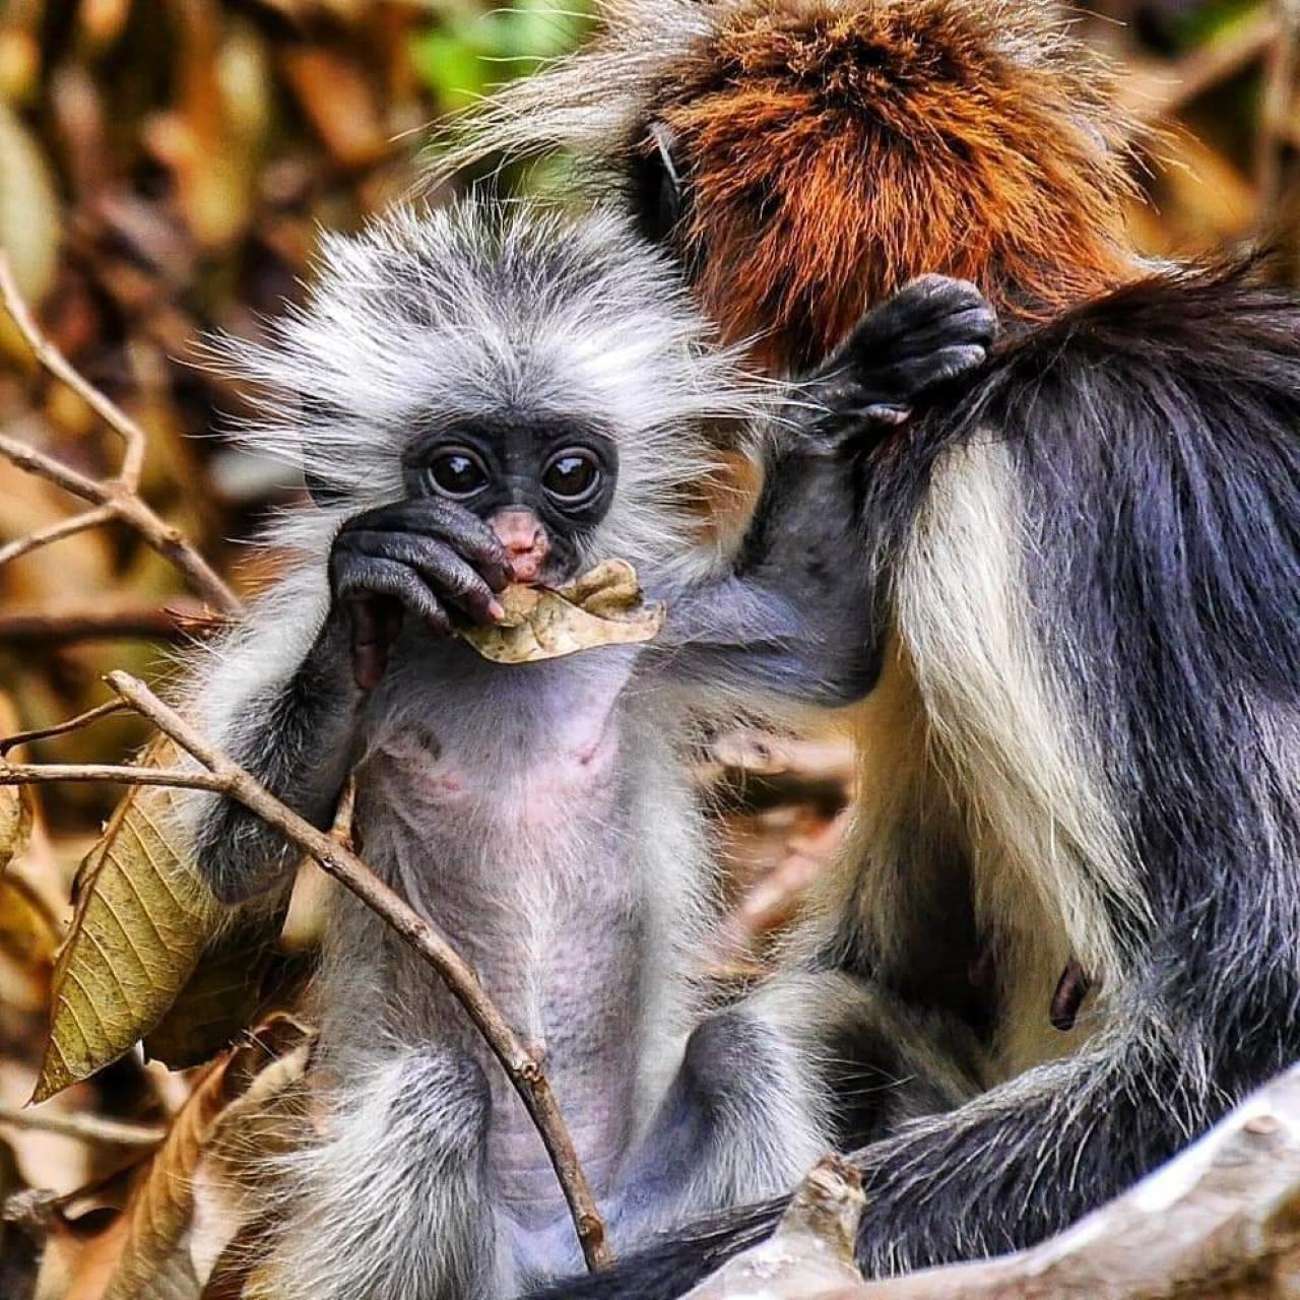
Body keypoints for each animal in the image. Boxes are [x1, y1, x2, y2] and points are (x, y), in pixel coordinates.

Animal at [175, 197, 996, 1299]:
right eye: (459, 472)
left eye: (569, 473)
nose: (522, 543)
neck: (504, 654)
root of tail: (559, 1242)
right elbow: (231, 849)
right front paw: (371, 592)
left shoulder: (639, 613)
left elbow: (818, 635)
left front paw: (844, 394)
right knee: (436, 1093)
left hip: (656, 1215)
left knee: (738, 1051)